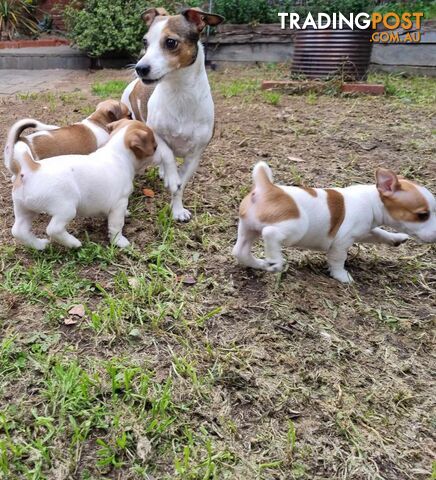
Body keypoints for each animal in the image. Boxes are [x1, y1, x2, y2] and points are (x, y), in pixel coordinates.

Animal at [8, 119, 157, 251]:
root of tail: (31, 167)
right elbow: (116, 225)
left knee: (19, 231)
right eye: (155, 146)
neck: (118, 153)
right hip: (66, 209)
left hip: (24, 209)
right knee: (53, 229)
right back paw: (73, 243)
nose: (158, 152)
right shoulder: (119, 204)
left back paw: (39, 245)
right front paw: (119, 241)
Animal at [122, 6, 225, 222]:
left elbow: (180, 185)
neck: (180, 94)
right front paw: (171, 176)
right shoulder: (155, 135)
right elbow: (168, 154)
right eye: (145, 42)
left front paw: (177, 209)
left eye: (170, 42)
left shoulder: (195, 156)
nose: (140, 68)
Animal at [232, 162, 436, 282]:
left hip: (248, 229)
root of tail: (267, 188)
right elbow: (338, 260)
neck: (372, 200)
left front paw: (396, 238)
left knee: (240, 251)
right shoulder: (342, 241)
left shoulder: (366, 231)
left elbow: (380, 234)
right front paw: (342, 277)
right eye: (423, 215)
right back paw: (275, 261)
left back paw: (261, 264)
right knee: (270, 233)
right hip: (296, 228)